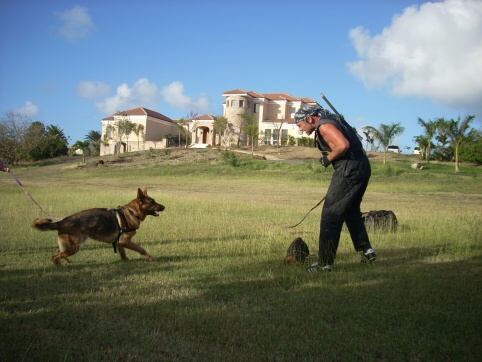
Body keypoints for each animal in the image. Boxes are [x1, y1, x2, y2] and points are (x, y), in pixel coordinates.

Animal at [32, 189, 165, 266]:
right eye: (152, 202)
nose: (164, 207)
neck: (132, 212)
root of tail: (61, 222)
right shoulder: (125, 241)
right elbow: (141, 249)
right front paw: (151, 258)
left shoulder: (119, 243)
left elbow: (123, 254)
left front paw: (126, 261)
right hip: (74, 247)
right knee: (54, 257)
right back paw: (61, 267)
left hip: (69, 246)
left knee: (58, 252)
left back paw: (67, 262)